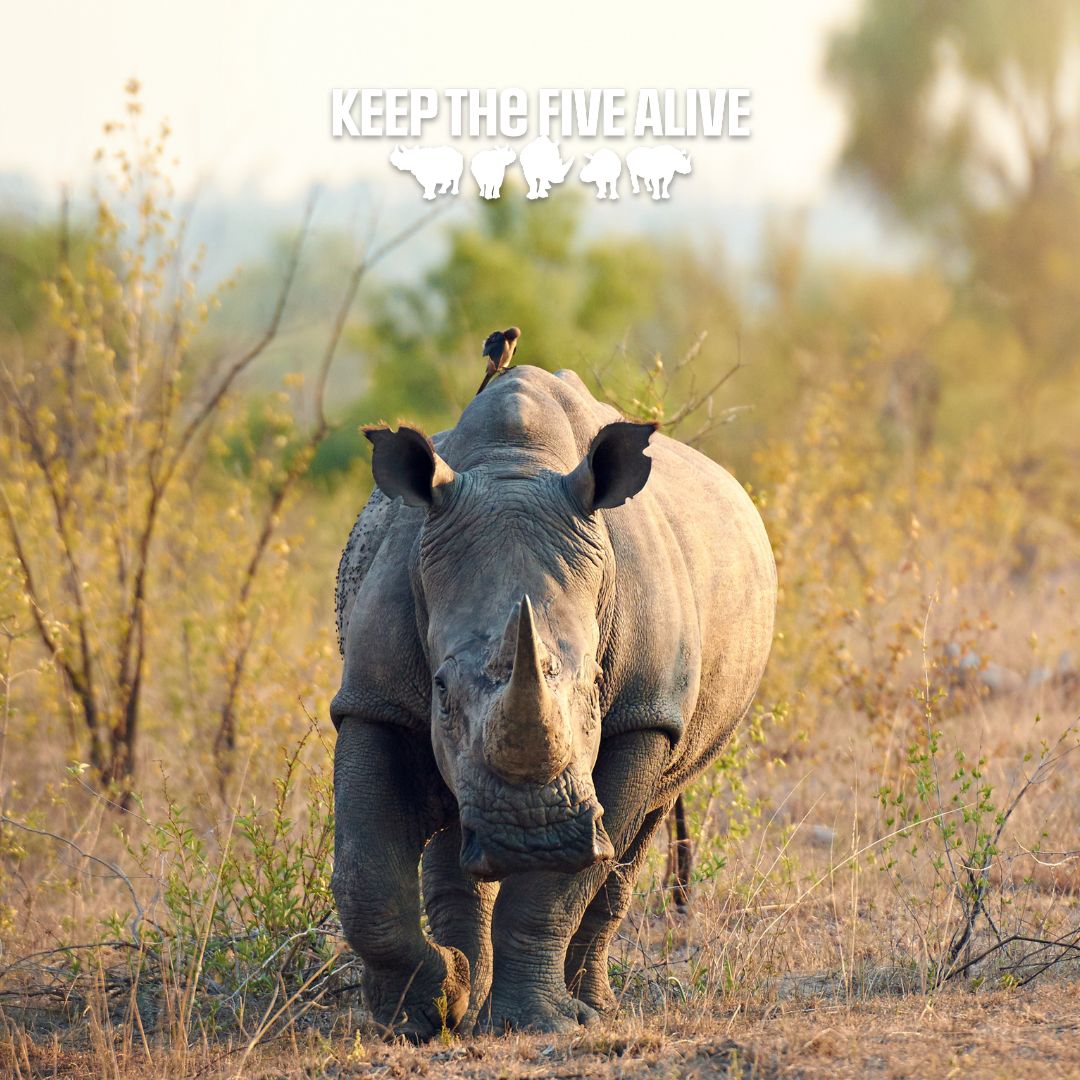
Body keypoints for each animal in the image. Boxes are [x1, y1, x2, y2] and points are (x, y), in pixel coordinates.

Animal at [331, 366, 775, 1039]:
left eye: (595, 683)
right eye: (441, 692)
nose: (532, 836)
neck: (515, 467)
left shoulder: (642, 717)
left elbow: (561, 887)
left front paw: (536, 1025)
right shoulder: (371, 699)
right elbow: (364, 876)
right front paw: (424, 1012)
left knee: (635, 839)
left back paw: (590, 1007)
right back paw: (468, 991)